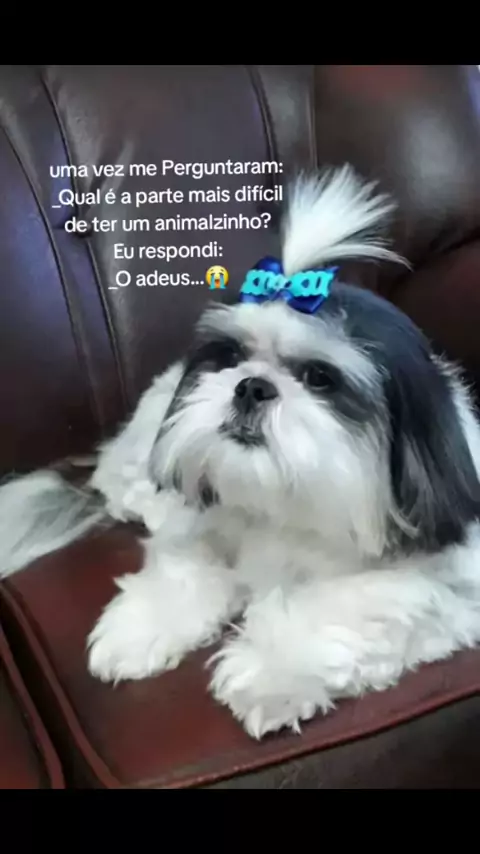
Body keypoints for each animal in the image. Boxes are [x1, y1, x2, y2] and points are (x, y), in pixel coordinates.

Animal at [2, 165, 480, 740]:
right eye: (230, 356)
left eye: (320, 379)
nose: (252, 386)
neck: (284, 512)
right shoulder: (204, 521)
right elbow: (184, 565)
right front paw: (139, 628)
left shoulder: (440, 590)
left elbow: (341, 605)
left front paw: (266, 672)